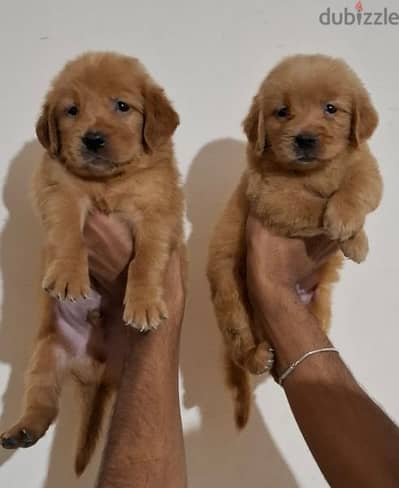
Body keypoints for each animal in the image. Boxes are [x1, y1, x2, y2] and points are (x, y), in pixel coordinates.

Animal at [0, 52, 184, 472]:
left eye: (122, 106)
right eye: (71, 110)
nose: (93, 138)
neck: (108, 183)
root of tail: (95, 370)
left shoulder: (158, 211)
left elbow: (147, 259)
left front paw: (144, 303)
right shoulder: (59, 190)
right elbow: (68, 231)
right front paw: (69, 276)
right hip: (46, 352)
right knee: (42, 400)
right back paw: (23, 429)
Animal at [208, 53, 382, 428]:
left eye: (331, 108)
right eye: (282, 112)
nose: (304, 139)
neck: (314, 172)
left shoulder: (367, 166)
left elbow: (357, 187)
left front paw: (353, 233)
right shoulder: (271, 195)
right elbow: (312, 204)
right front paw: (340, 225)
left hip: (319, 307)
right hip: (231, 299)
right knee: (241, 346)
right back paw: (257, 356)